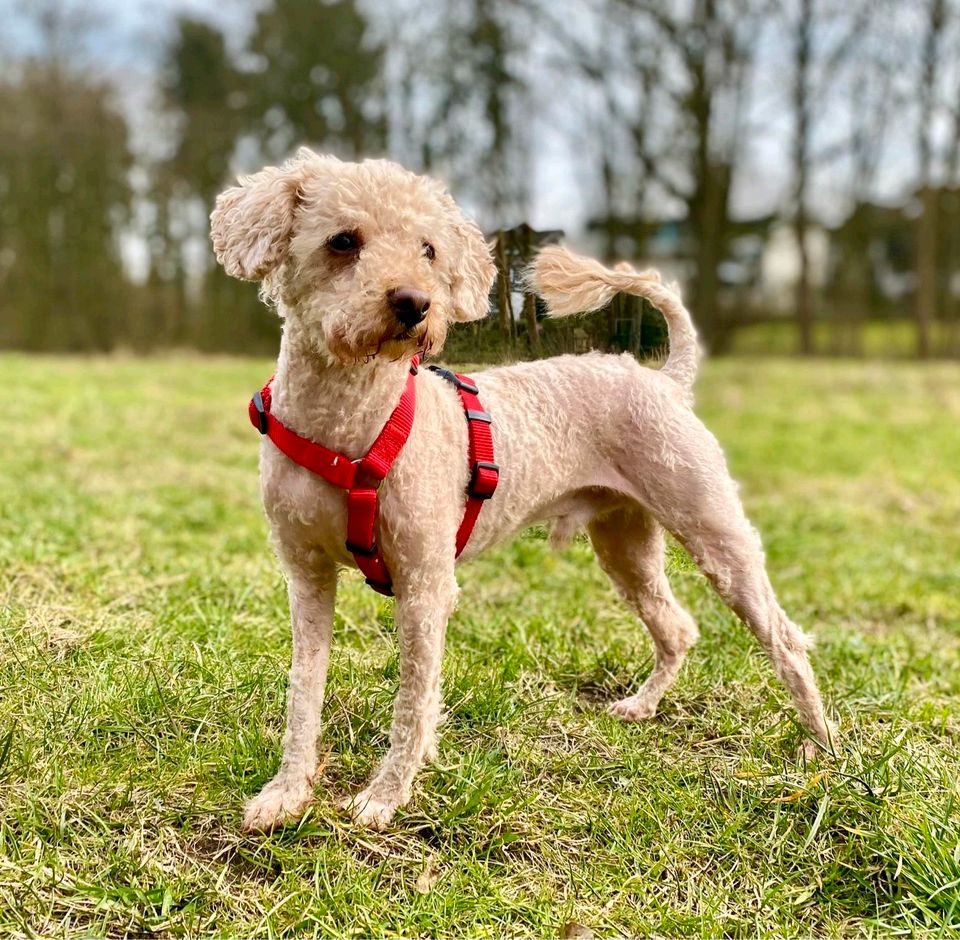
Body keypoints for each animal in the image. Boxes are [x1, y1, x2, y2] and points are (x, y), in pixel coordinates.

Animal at [210, 147, 832, 828]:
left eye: (428, 249)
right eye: (343, 241)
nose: (414, 303)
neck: (350, 426)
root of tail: (666, 379)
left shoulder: (425, 584)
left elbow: (412, 699)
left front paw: (386, 795)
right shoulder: (308, 577)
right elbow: (305, 691)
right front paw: (288, 791)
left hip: (715, 534)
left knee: (785, 639)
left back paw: (821, 748)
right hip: (625, 545)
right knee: (678, 629)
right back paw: (643, 707)